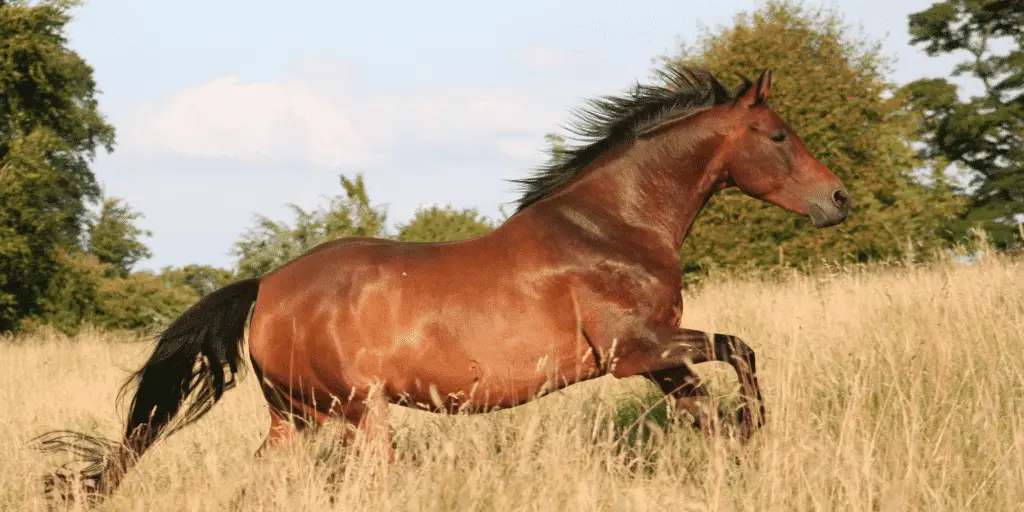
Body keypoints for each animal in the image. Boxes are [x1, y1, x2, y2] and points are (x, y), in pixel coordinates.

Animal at [34, 64, 847, 503]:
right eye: (779, 136)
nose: (838, 200)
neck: (611, 226)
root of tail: (264, 290)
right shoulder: (637, 350)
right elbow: (740, 350)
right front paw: (756, 429)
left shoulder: (658, 360)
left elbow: (707, 407)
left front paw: (739, 451)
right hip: (361, 415)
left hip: (296, 419)